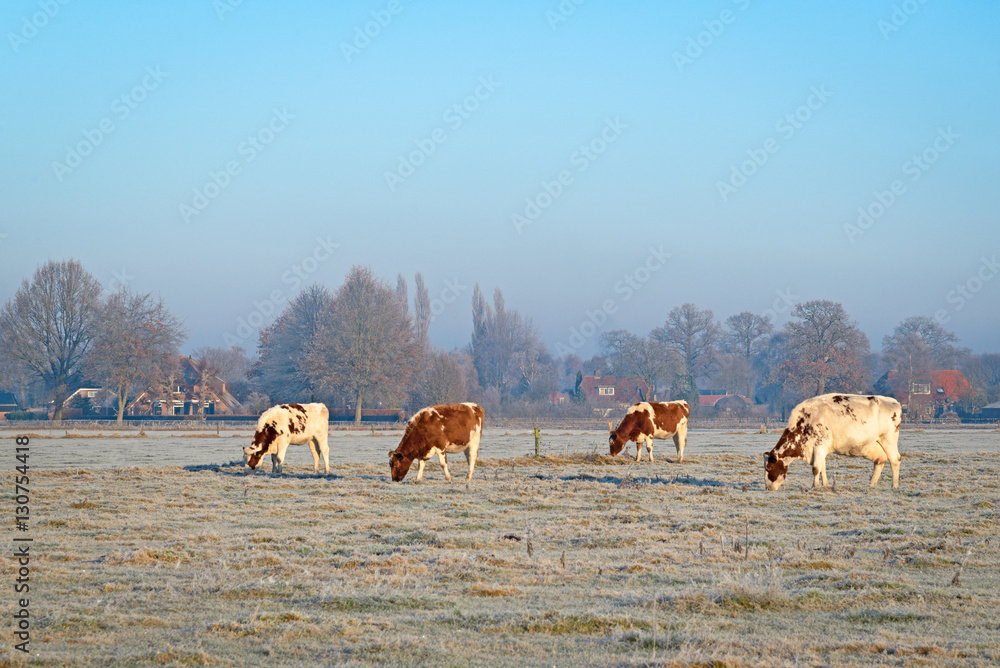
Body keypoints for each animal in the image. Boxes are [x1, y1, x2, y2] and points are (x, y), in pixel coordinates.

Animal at [764, 393, 902, 491]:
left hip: (888, 439)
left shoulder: (819, 446)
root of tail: (894, 402)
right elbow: (822, 468)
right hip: (874, 445)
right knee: (880, 460)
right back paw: (871, 485)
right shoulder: (820, 449)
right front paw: (825, 485)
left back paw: (894, 486)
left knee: (895, 460)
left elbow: (816, 469)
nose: (767, 488)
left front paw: (814, 487)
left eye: (768, 467)